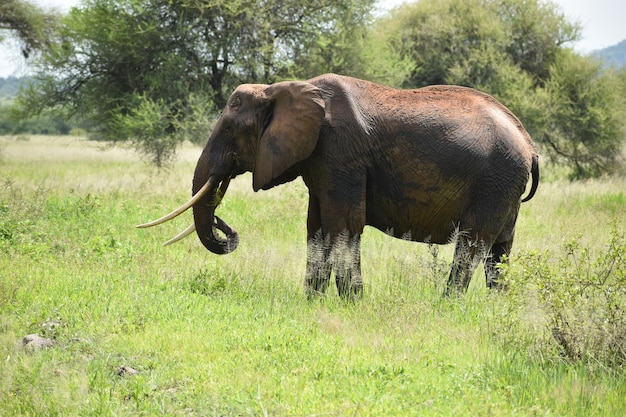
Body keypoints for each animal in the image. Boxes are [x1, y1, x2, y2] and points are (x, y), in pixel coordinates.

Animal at [138, 73, 536, 298]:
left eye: (231, 129)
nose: (223, 225)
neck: (280, 88)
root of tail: (529, 144)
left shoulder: (340, 152)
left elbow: (344, 225)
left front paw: (352, 305)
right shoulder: (319, 159)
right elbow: (317, 227)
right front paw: (312, 302)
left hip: (496, 179)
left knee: (473, 245)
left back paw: (447, 307)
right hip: (505, 186)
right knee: (500, 250)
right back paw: (498, 309)